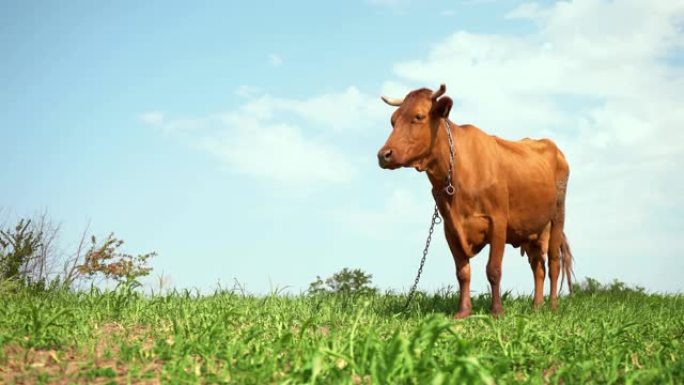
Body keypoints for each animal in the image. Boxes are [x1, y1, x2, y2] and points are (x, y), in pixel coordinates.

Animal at [376, 85, 576, 318]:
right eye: (393, 120)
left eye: (418, 116)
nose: (383, 155)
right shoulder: (451, 228)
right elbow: (463, 272)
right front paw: (463, 312)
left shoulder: (498, 221)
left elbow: (493, 270)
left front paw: (497, 312)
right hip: (533, 229)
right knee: (538, 267)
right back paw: (536, 307)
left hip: (557, 217)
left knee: (553, 263)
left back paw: (552, 307)